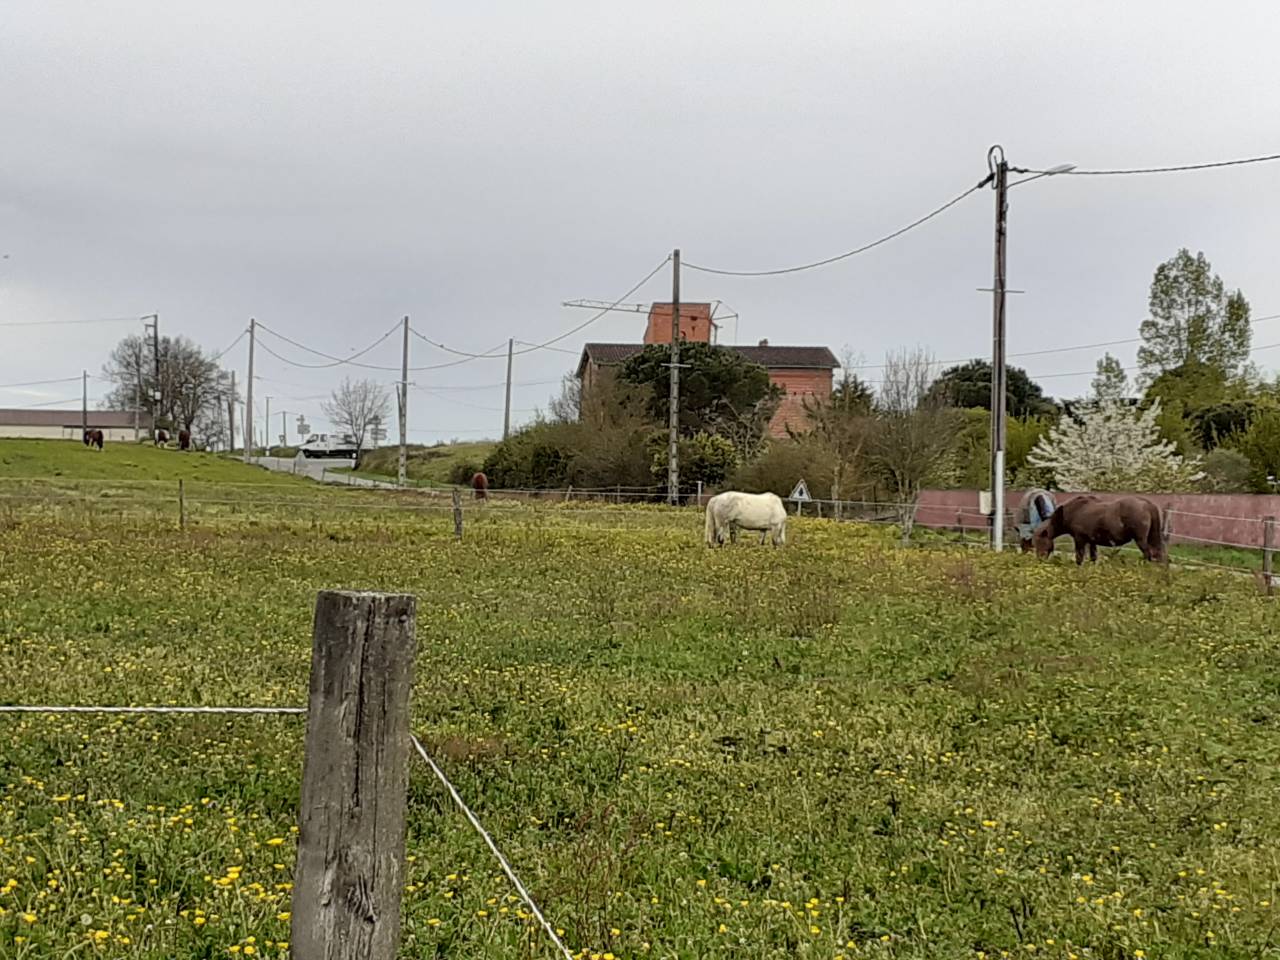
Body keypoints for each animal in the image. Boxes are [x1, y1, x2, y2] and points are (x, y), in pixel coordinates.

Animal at [1032, 495, 1166, 565]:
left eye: (1039, 542)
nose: (1039, 560)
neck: (1073, 512)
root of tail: (1147, 504)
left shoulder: (1080, 539)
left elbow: (1079, 558)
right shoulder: (1092, 542)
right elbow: (1093, 558)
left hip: (1141, 539)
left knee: (1148, 554)